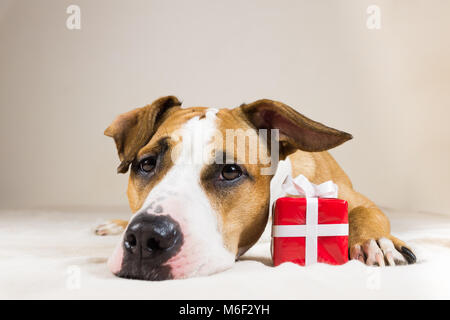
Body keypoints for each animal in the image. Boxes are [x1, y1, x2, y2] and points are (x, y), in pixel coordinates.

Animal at [96, 95, 416, 280]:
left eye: (230, 171)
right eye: (147, 163)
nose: (145, 236)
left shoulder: (357, 199)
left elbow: (365, 212)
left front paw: (374, 241)